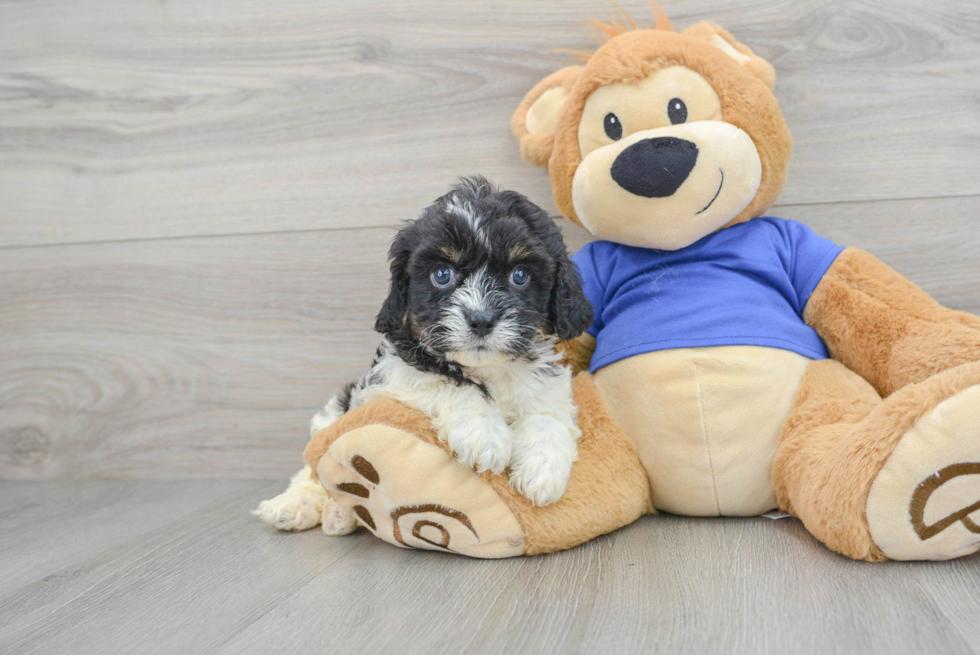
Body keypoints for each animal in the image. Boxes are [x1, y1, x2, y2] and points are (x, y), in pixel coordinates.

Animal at [253, 177, 588, 536]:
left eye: (520, 276)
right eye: (441, 275)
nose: (481, 319)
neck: (487, 370)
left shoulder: (544, 382)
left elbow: (548, 415)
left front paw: (543, 470)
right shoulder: (390, 377)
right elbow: (447, 382)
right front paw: (484, 435)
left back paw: (338, 514)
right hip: (333, 415)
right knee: (313, 470)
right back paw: (299, 505)